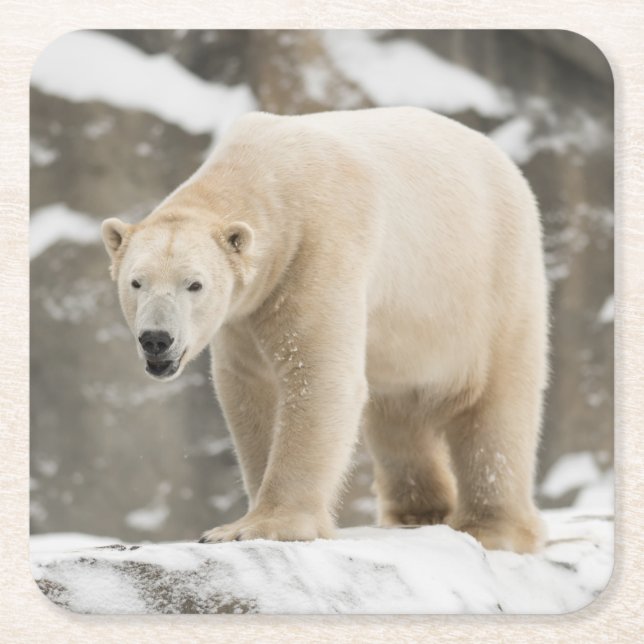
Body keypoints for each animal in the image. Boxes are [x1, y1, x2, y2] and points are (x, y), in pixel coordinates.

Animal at [101, 107, 548, 553]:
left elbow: (318, 375)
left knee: (496, 406)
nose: (156, 340)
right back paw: (417, 512)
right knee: (399, 413)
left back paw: (491, 528)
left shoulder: (316, 248)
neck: (265, 175)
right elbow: (250, 387)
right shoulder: (247, 309)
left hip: (492, 282)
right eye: (136, 282)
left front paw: (258, 526)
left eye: (194, 284)